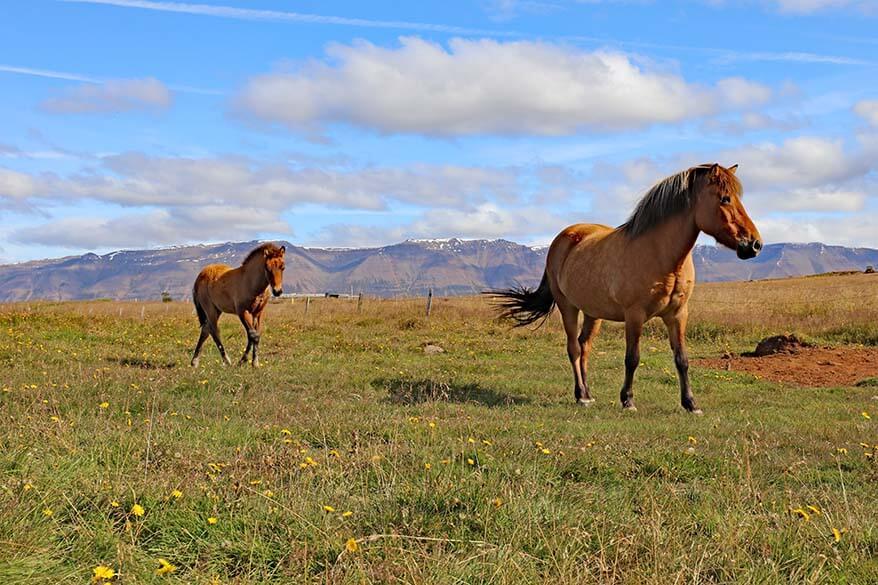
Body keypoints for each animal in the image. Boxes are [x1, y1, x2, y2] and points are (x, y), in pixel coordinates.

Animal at [492, 162, 760, 412]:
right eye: (725, 198)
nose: (754, 244)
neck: (661, 256)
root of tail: (563, 239)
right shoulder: (635, 315)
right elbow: (632, 358)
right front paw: (628, 400)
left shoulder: (678, 315)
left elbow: (682, 359)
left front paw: (691, 403)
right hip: (568, 307)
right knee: (573, 349)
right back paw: (581, 396)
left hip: (593, 313)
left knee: (584, 346)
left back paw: (587, 393)